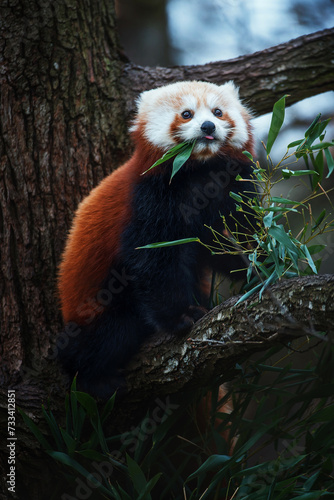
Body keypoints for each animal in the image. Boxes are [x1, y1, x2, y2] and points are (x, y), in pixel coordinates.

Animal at [57, 81, 254, 398]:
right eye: (186, 114)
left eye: (217, 112)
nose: (208, 126)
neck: (198, 170)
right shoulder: (149, 199)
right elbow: (152, 263)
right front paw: (180, 317)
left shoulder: (232, 186)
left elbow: (231, 238)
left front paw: (260, 266)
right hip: (93, 309)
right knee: (109, 335)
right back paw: (93, 376)